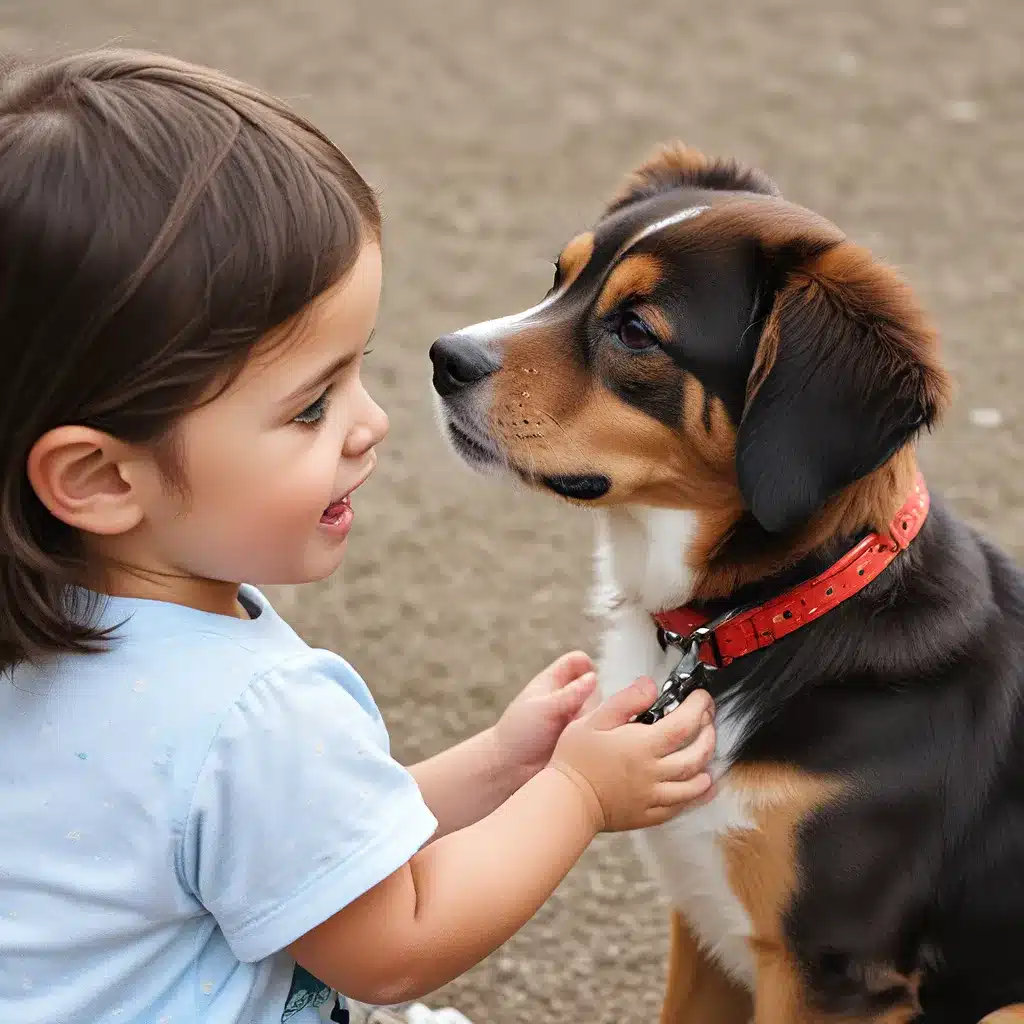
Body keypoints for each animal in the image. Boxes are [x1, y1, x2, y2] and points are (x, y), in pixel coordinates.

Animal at [428, 146, 1024, 1024]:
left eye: (635, 329)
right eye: (560, 276)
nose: (444, 358)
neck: (768, 616)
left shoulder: (828, 970)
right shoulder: (704, 926)